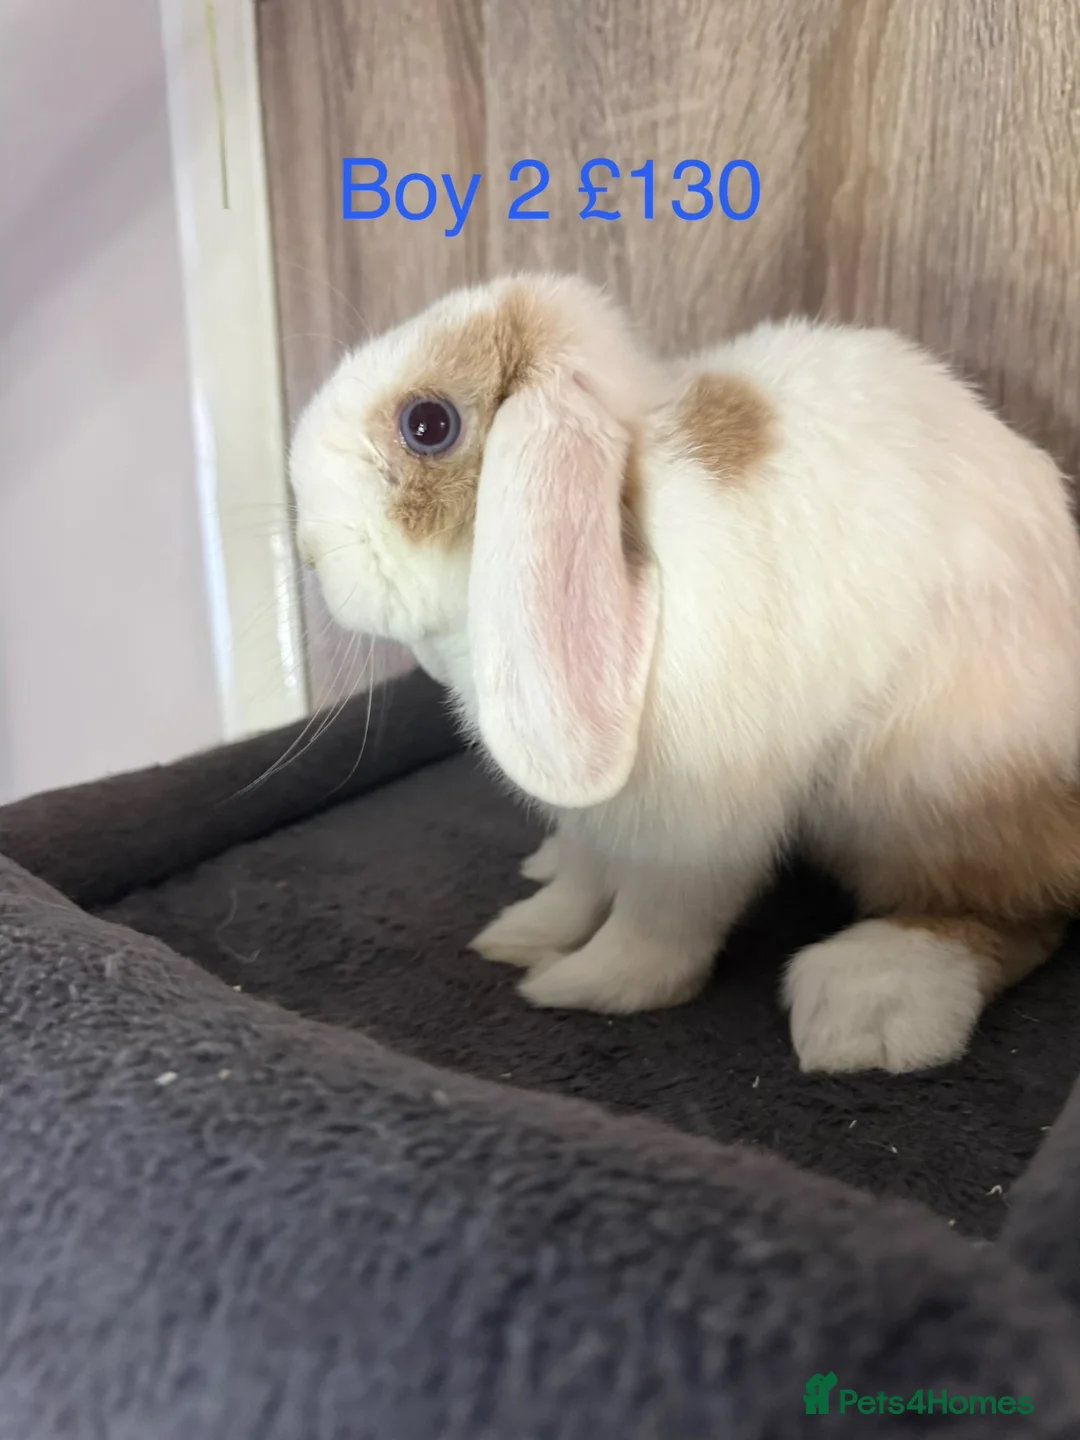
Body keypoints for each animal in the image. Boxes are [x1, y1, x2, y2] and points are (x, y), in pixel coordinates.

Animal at [288, 271, 1080, 1075]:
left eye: (428, 424)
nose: (311, 553)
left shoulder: (692, 826)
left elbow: (657, 926)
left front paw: (580, 983)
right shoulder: (596, 816)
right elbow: (582, 881)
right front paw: (522, 933)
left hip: (930, 798)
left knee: (1013, 908)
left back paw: (868, 1005)